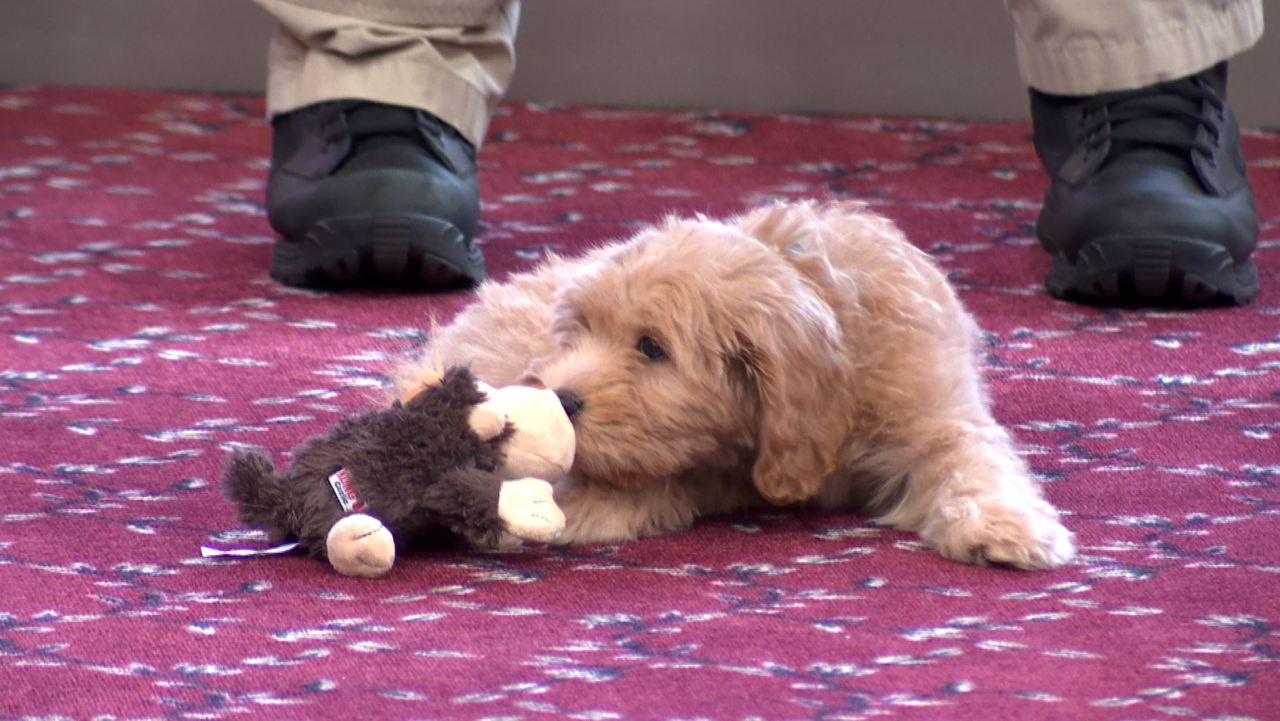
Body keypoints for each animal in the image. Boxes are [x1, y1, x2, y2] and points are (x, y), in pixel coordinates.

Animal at [396, 199, 1070, 566]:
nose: (557, 397)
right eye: (579, 331)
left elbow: (973, 463)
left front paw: (1005, 525)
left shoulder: (934, 410)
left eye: (652, 347)